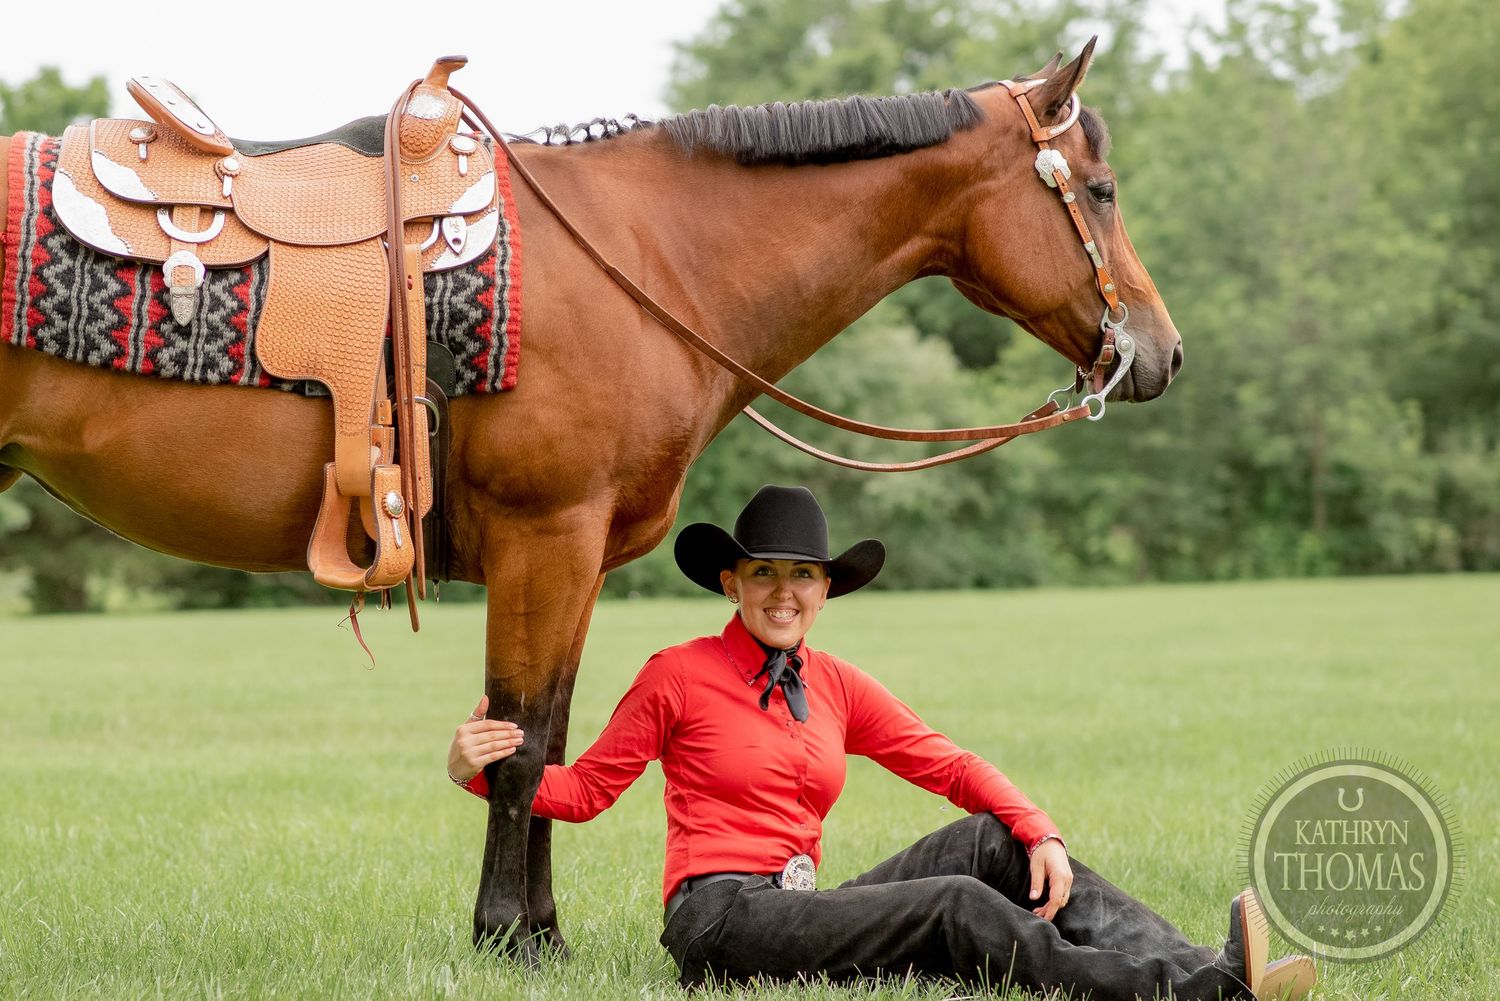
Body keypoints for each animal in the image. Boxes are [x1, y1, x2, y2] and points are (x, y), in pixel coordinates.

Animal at [0, 42, 1181, 960]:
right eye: (1103, 190)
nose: (1162, 352)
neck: (645, 258)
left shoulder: (576, 558)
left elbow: (557, 739)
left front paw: (542, 930)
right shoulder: (547, 539)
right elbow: (519, 741)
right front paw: (506, 937)